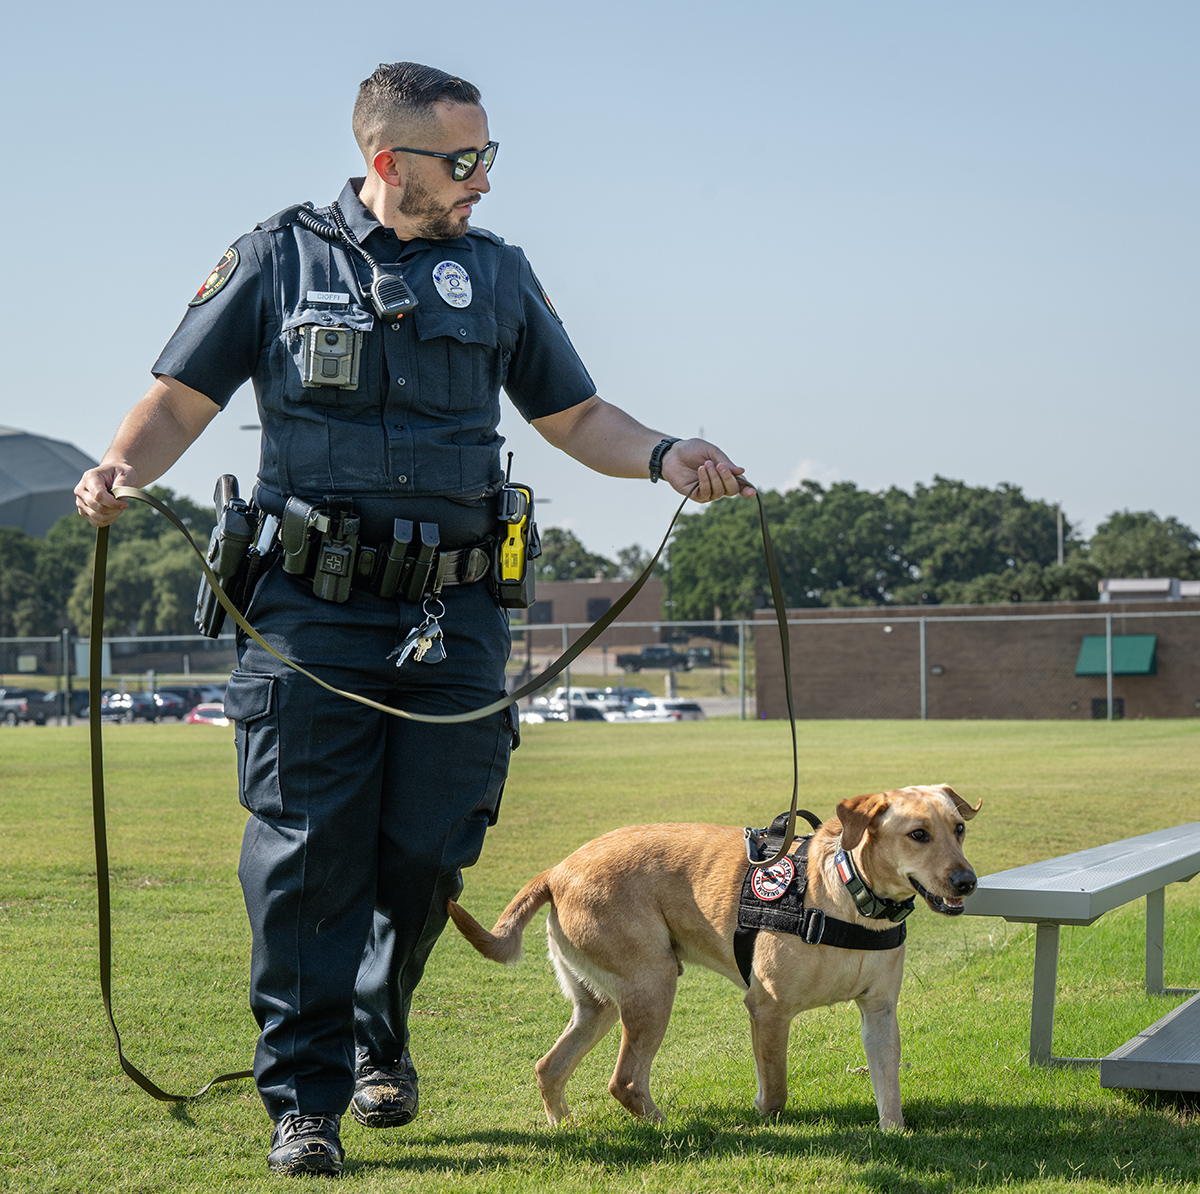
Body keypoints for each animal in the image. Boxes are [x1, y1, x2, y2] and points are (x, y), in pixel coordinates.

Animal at [446, 782, 979, 1128]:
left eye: (958, 829)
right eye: (917, 834)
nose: (967, 882)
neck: (850, 894)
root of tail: (557, 870)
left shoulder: (880, 1012)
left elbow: (888, 1087)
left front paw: (893, 1133)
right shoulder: (768, 1008)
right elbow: (776, 1090)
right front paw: (762, 1115)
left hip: (598, 1003)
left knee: (550, 1067)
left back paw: (565, 1124)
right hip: (653, 985)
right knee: (625, 1081)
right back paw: (665, 1129)